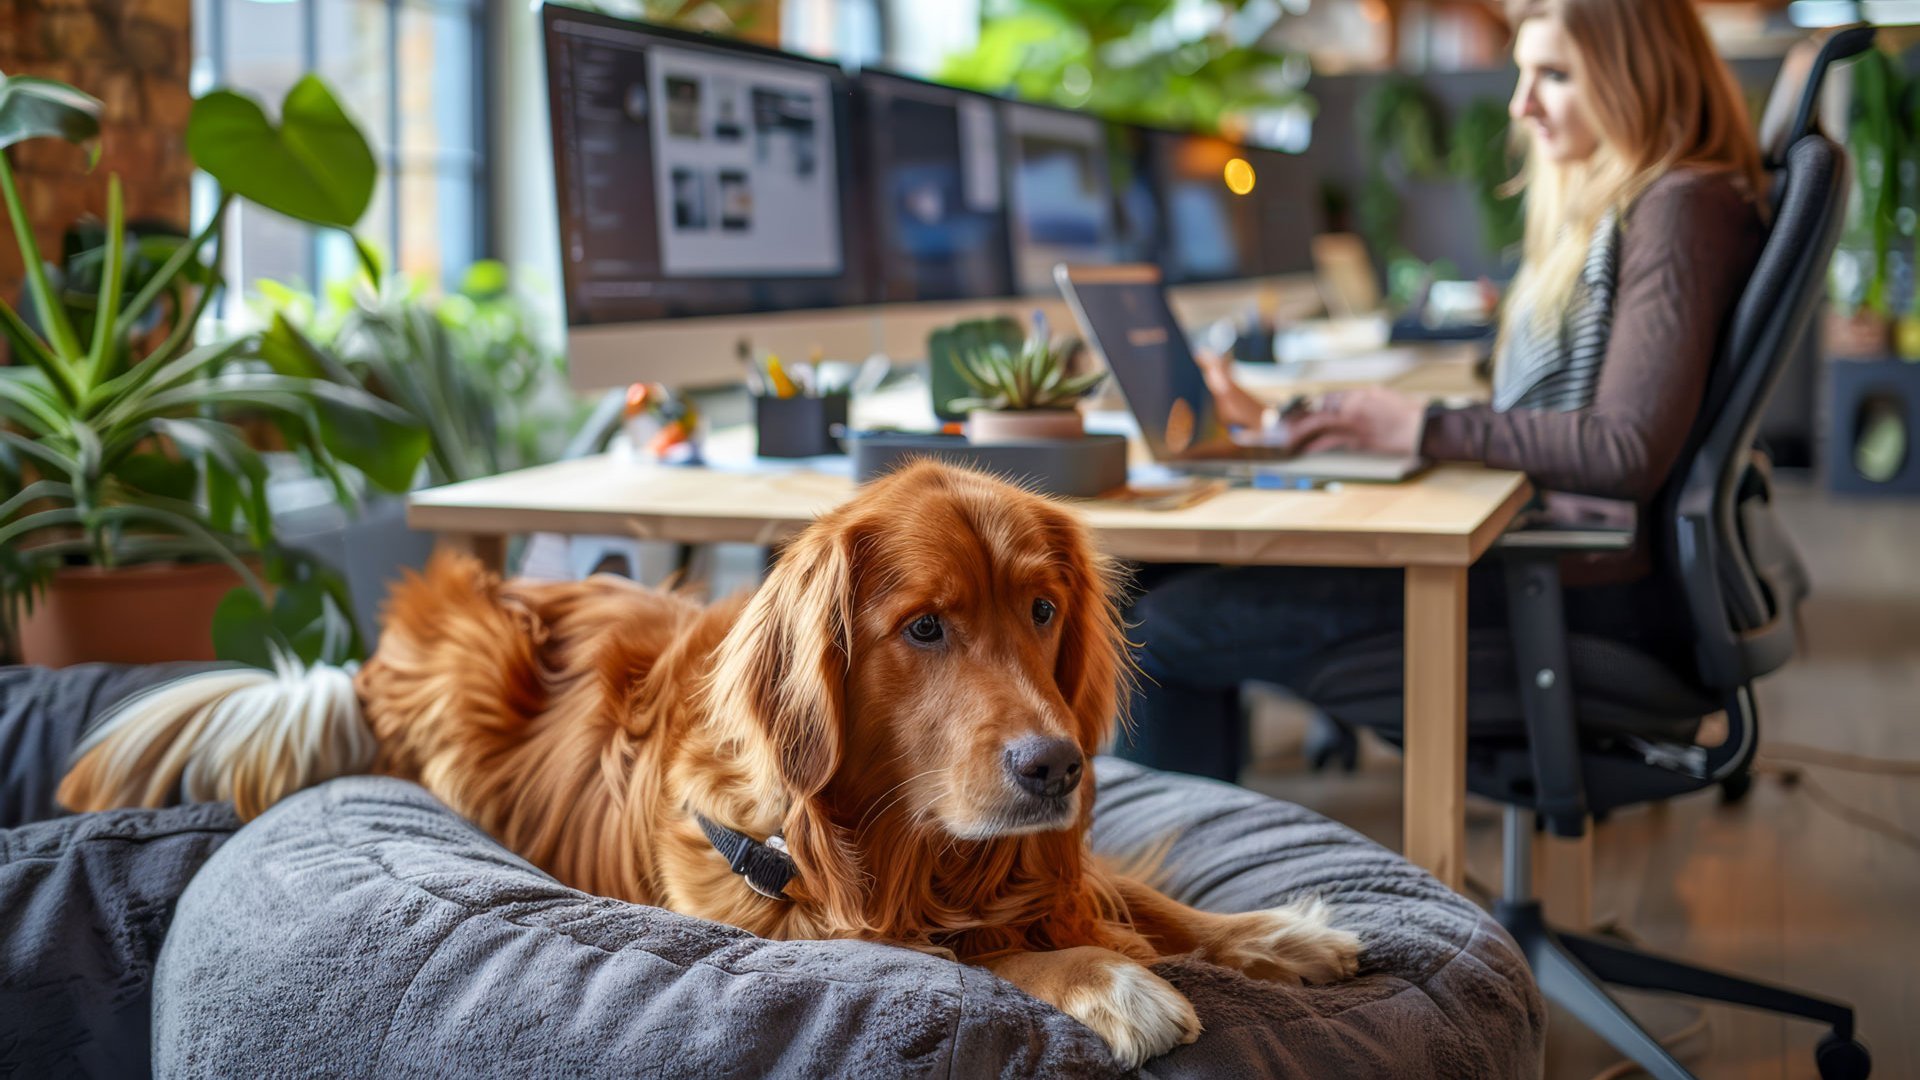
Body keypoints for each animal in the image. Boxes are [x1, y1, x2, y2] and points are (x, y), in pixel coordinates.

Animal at [56, 457, 1351, 1060]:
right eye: (924, 628)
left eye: (1041, 611)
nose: (1056, 770)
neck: (904, 844)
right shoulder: (793, 923)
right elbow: (967, 959)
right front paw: (1104, 980)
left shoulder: (1042, 861)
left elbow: (1140, 896)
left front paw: (1273, 932)